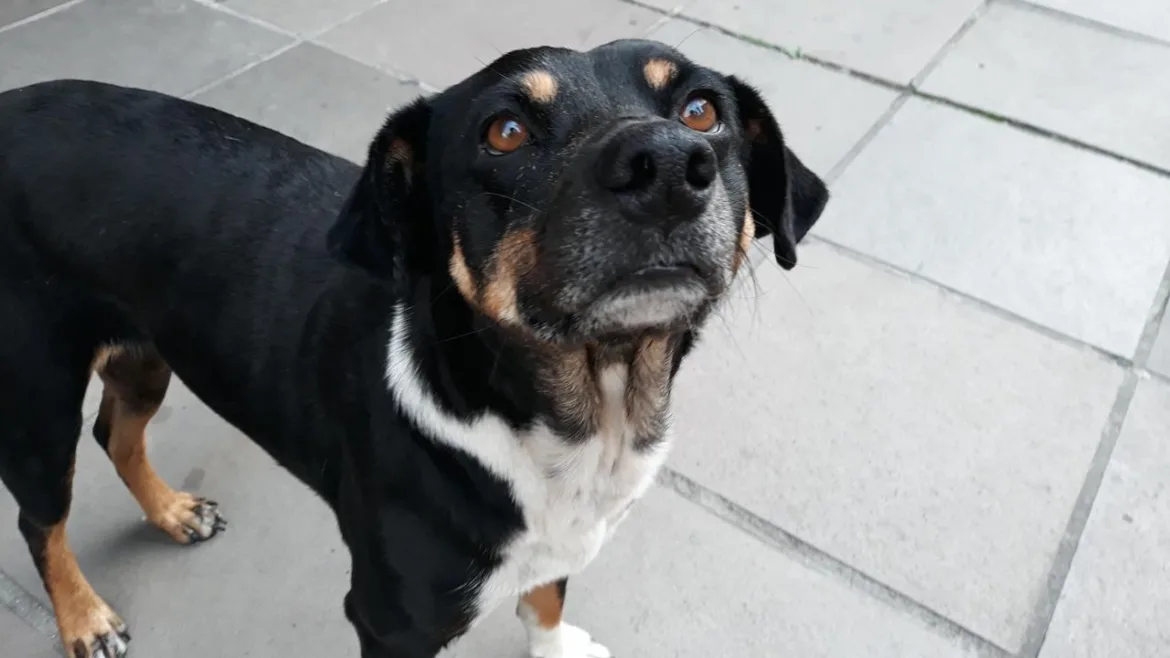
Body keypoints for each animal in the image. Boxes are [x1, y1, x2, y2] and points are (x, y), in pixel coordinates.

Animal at [0, 38, 828, 658]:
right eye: (505, 131)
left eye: (701, 109)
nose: (667, 167)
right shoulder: (390, 621)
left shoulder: (555, 547)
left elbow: (546, 599)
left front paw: (557, 648)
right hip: (35, 397)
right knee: (41, 519)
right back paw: (85, 619)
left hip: (145, 351)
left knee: (116, 431)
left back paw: (171, 511)